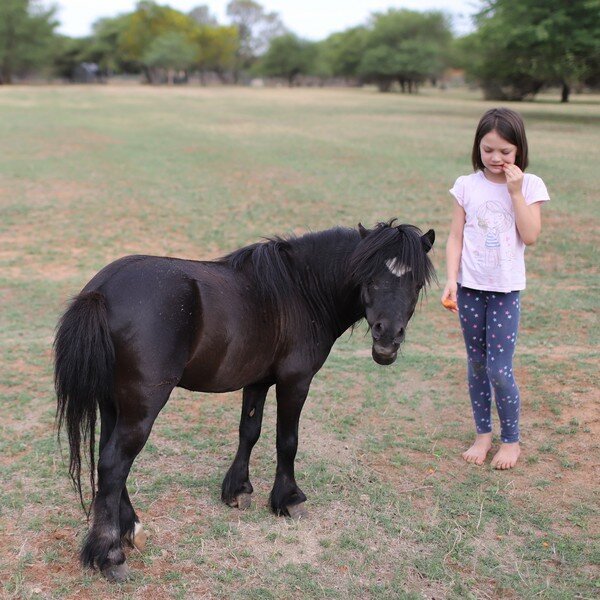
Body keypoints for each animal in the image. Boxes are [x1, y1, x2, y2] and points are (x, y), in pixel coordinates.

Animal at [54, 220, 434, 580]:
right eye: (370, 279)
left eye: (416, 284)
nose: (388, 338)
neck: (299, 290)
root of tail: (102, 290)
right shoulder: (295, 381)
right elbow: (287, 441)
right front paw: (288, 499)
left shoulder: (257, 382)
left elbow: (249, 432)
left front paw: (237, 490)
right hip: (142, 405)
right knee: (114, 463)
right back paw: (110, 555)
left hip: (113, 403)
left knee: (109, 459)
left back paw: (131, 528)